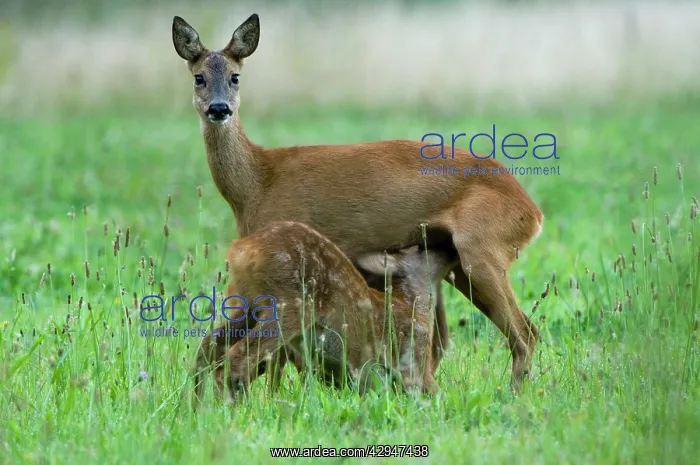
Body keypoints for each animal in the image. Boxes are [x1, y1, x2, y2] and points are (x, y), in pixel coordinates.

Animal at [217, 221, 459, 400]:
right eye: (422, 247)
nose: (449, 242)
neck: (414, 305)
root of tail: (241, 249)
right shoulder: (413, 355)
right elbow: (435, 394)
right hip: (289, 305)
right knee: (237, 356)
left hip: (248, 303)